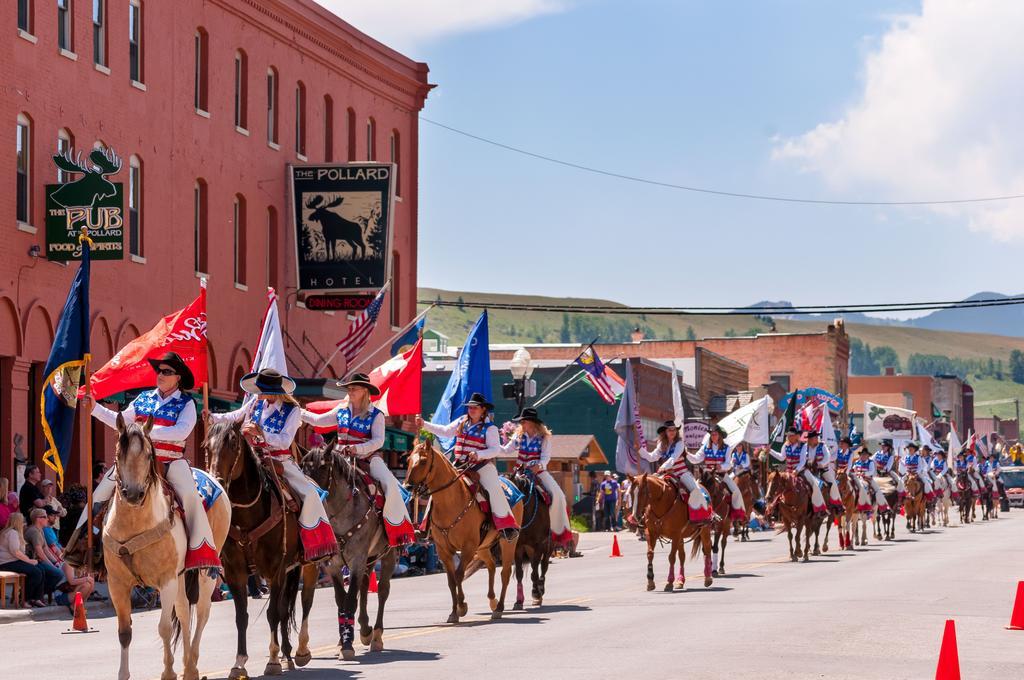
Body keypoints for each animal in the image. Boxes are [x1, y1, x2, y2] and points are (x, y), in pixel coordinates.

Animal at [104, 411, 229, 680]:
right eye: (118, 454)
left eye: (148, 455)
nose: (133, 494)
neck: (135, 524)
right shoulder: (117, 584)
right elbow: (124, 632)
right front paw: (124, 673)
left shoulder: (167, 580)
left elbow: (163, 628)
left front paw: (169, 672)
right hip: (182, 577)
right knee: (183, 610)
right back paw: (187, 663)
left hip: (204, 573)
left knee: (201, 612)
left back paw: (191, 667)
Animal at [205, 419, 303, 675]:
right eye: (207, 446)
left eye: (233, 443)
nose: (217, 481)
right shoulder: (234, 572)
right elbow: (242, 616)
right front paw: (239, 663)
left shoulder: (277, 569)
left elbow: (273, 614)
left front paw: (273, 660)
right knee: (283, 608)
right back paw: (287, 653)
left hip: (300, 568)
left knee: (288, 607)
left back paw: (295, 654)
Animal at [296, 446, 395, 659]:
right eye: (301, 467)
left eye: (323, 467)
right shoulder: (332, 565)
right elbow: (341, 600)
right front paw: (343, 641)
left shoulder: (357, 559)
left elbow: (350, 601)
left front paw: (348, 645)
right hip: (370, 558)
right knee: (365, 587)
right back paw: (365, 630)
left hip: (388, 554)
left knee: (382, 591)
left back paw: (376, 636)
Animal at [403, 438, 524, 622]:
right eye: (409, 460)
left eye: (423, 461)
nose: (407, 486)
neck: (451, 502)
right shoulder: (444, 550)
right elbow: (451, 580)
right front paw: (454, 612)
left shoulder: (468, 548)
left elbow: (459, 575)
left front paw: (461, 606)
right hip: (483, 547)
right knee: (491, 566)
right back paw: (493, 601)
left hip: (508, 542)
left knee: (505, 572)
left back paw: (499, 608)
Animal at [505, 466, 548, 610]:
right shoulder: (518, 547)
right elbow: (519, 573)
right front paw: (519, 601)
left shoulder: (538, 545)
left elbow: (534, 571)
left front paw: (536, 593)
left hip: (548, 547)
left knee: (543, 566)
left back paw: (540, 589)